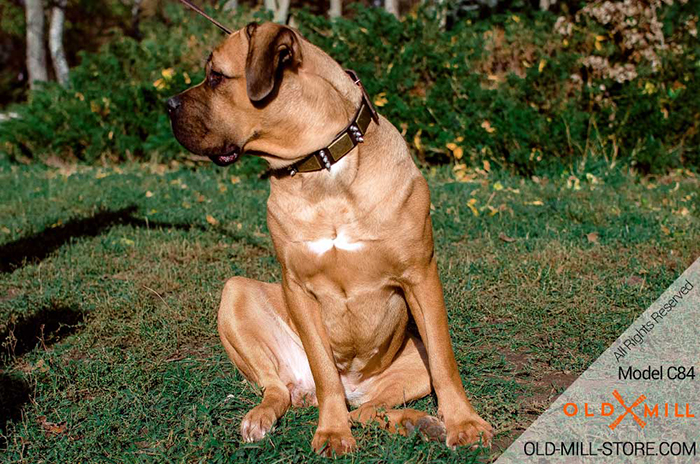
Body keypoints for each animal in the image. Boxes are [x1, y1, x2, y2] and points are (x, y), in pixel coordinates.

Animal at [166, 22, 492, 456]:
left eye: (216, 76)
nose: (168, 104)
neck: (321, 164)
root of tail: (354, 386)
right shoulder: (297, 287)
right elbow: (323, 369)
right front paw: (333, 431)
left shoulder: (421, 274)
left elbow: (444, 361)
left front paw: (464, 423)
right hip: (236, 293)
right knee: (279, 388)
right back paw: (263, 417)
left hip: (408, 365)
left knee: (370, 408)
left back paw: (420, 423)